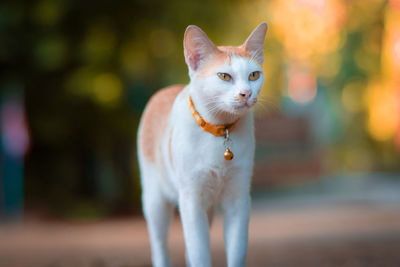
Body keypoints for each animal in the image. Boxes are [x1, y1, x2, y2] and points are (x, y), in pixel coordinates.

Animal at [138, 23, 268, 267]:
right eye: (224, 76)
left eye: (254, 75)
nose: (246, 93)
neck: (219, 131)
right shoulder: (191, 200)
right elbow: (199, 253)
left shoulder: (238, 199)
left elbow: (236, 252)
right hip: (155, 201)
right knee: (159, 247)